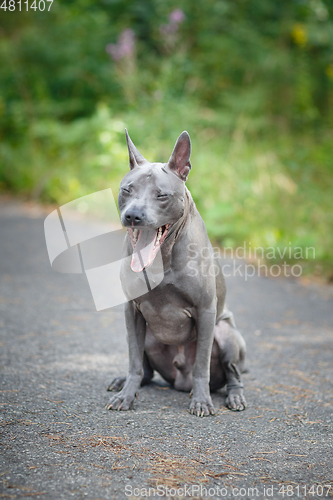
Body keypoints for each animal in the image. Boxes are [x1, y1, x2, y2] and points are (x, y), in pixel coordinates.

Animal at [107, 131, 246, 416]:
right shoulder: (131, 311)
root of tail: (180, 380)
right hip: (149, 336)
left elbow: (201, 365)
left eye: (161, 195)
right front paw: (126, 395)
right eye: (127, 190)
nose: (133, 215)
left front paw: (202, 401)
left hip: (227, 334)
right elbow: (134, 361)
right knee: (146, 371)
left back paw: (235, 396)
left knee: (233, 374)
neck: (162, 258)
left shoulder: (206, 311)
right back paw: (122, 382)